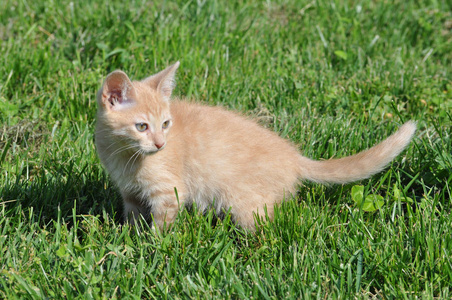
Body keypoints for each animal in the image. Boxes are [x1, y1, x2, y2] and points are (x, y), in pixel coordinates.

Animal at [95, 60, 416, 230]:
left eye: (165, 124)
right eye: (142, 127)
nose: (161, 144)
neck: (125, 156)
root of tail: (295, 157)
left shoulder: (168, 192)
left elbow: (162, 226)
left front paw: (152, 248)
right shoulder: (130, 193)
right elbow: (133, 217)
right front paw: (129, 238)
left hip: (246, 205)